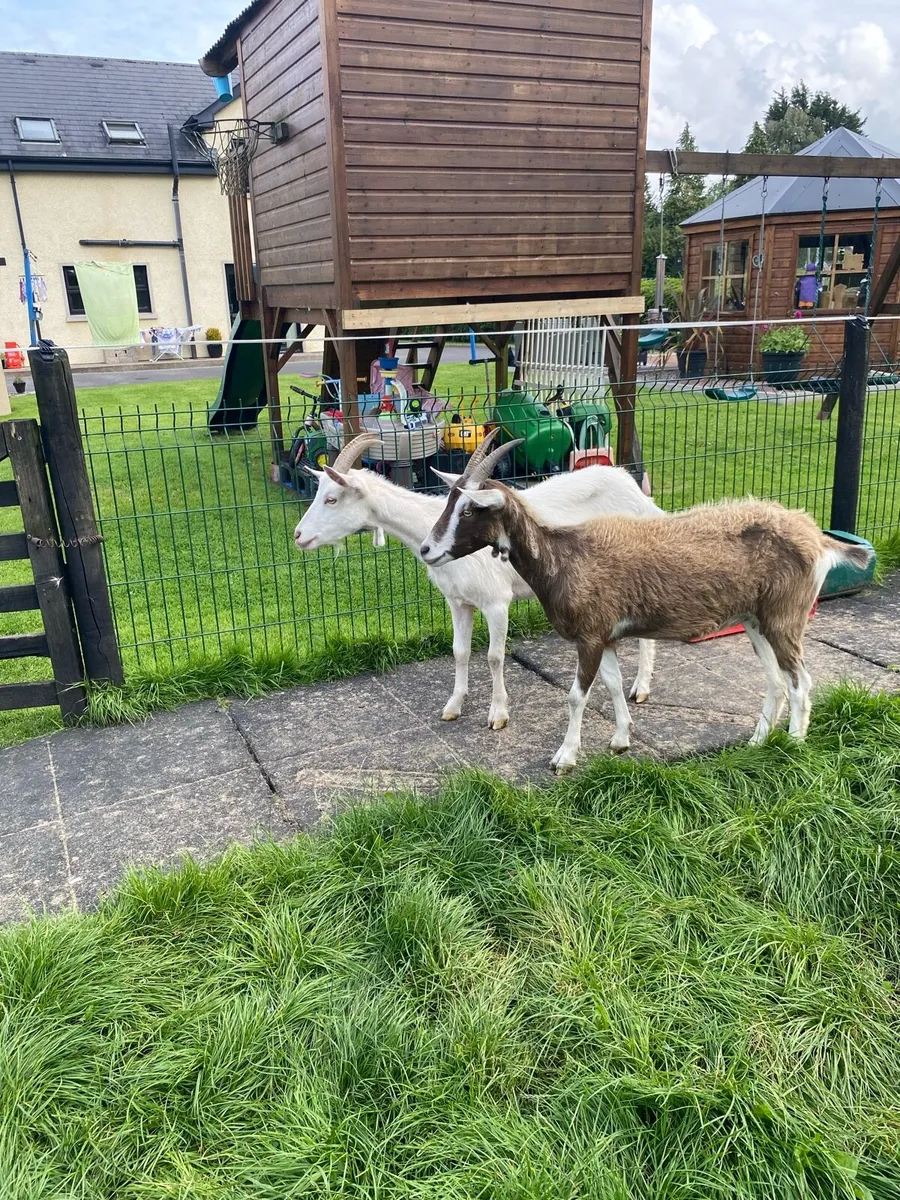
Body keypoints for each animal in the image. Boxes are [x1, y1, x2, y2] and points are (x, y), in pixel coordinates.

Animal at [294, 432, 661, 729]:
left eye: (331, 498)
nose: (298, 535)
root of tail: (638, 494)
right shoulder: (458, 602)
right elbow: (460, 652)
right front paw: (454, 705)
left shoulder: (497, 602)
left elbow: (494, 657)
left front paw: (498, 713)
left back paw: (641, 688)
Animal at [420, 434, 874, 772]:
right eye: (449, 500)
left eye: (470, 509)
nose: (426, 550)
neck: (566, 556)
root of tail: (816, 537)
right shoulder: (605, 636)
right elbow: (613, 684)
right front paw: (621, 739)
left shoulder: (589, 636)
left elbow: (577, 695)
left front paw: (565, 757)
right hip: (755, 620)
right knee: (776, 681)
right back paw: (757, 741)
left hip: (785, 618)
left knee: (800, 682)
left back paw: (793, 746)